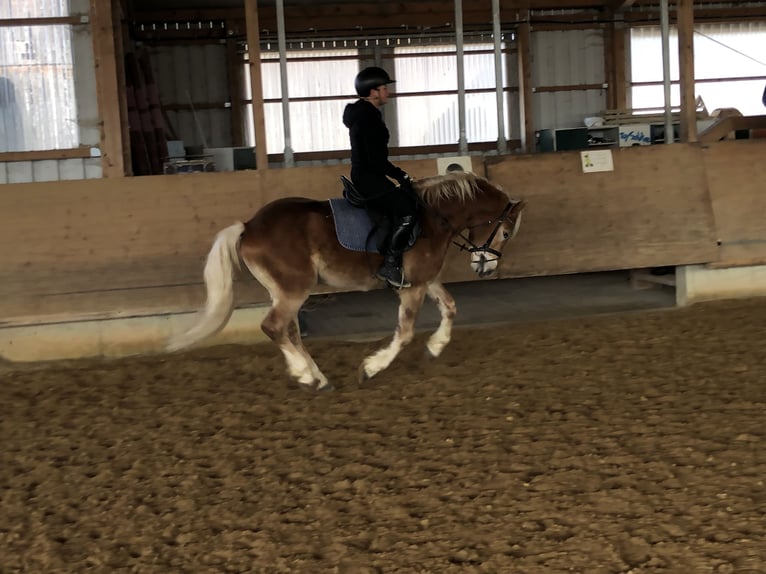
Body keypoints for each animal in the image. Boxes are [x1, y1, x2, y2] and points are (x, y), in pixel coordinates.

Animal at [168, 171, 528, 392]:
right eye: (506, 232)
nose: (486, 268)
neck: (432, 218)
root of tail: (249, 226)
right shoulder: (412, 286)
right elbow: (405, 332)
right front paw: (371, 368)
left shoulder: (425, 280)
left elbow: (450, 307)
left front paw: (435, 347)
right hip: (293, 289)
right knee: (274, 327)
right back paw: (306, 376)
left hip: (283, 291)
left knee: (289, 331)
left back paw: (317, 377)